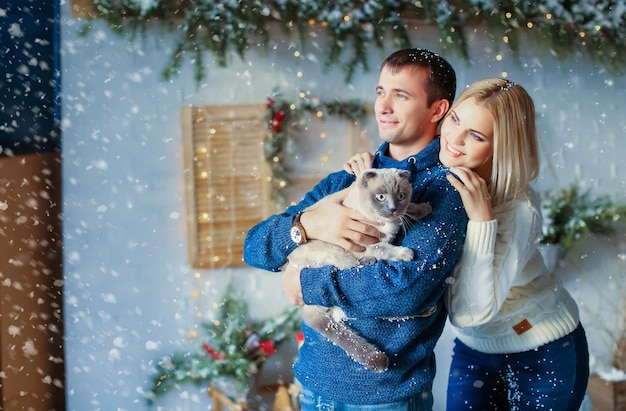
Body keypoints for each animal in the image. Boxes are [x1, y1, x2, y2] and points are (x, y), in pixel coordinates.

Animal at [286, 168, 428, 374]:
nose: (393, 209)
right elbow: (386, 249)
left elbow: (409, 210)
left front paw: (425, 209)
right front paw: (407, 253)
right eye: (381, 197)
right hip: (340, 258)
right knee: (355, 308)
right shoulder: (368, 245)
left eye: (401, 196)